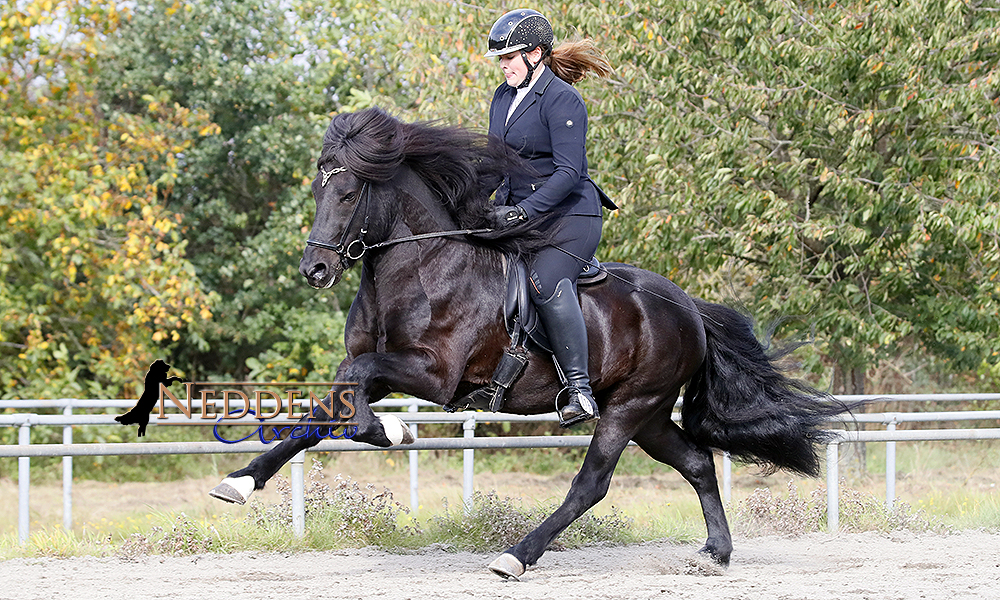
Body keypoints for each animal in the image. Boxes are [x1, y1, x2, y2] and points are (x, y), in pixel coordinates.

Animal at [211, 106, 852, 576]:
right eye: (317, 191)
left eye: (348, 194)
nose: (314, 270)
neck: (420, 264)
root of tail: (689, 308)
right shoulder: (389, 366)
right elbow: (326, 407)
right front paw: (240, 482)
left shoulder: (434, 374)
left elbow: (353, 380)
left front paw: (392, 431)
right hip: (648, 414)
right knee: (695, 462)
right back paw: (717, 553)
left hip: (629, 407)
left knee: (592, 484)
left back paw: (517, 556)